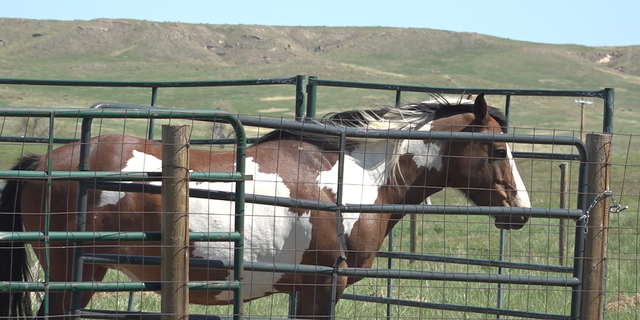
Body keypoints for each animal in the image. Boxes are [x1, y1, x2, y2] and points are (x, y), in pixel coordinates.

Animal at [0, 92, 528, 318]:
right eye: (497, 150)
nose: (520, 210)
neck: (355, 178)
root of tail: (42, 161)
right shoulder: (323, 287)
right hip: (76, 276)